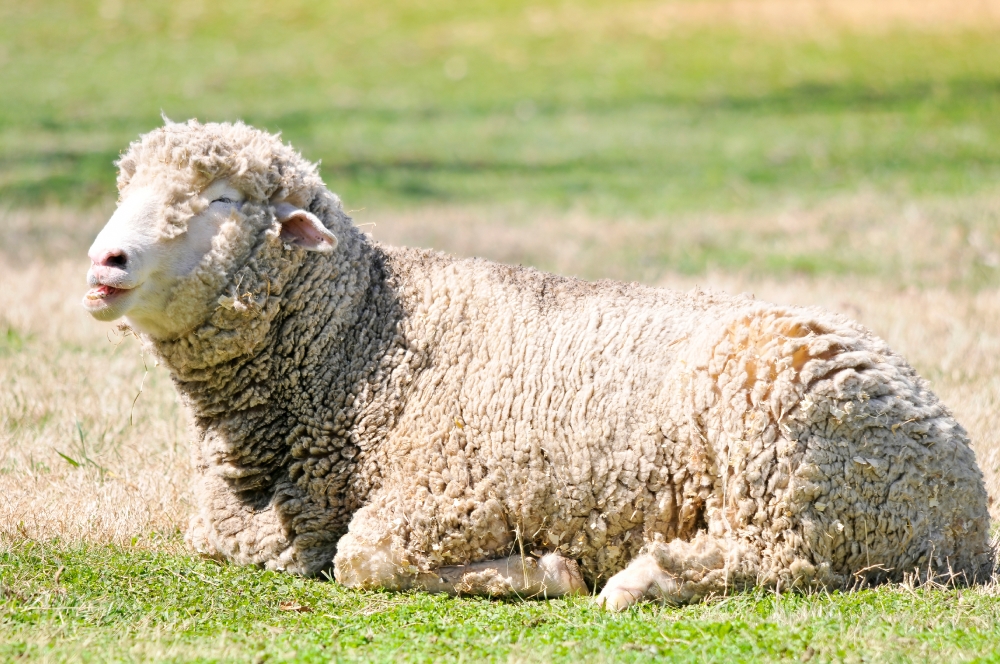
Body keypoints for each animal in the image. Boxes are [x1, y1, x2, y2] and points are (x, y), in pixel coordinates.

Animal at [84, 120, 992, 612]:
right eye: (127, 188)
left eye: (222, 200)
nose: (104, 261)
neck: (363, 341)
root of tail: (964, 500)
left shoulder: (451, 492)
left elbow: (364, 559)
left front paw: (544, 571)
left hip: (794, 476)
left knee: (793, 562)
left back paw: (645, 579)